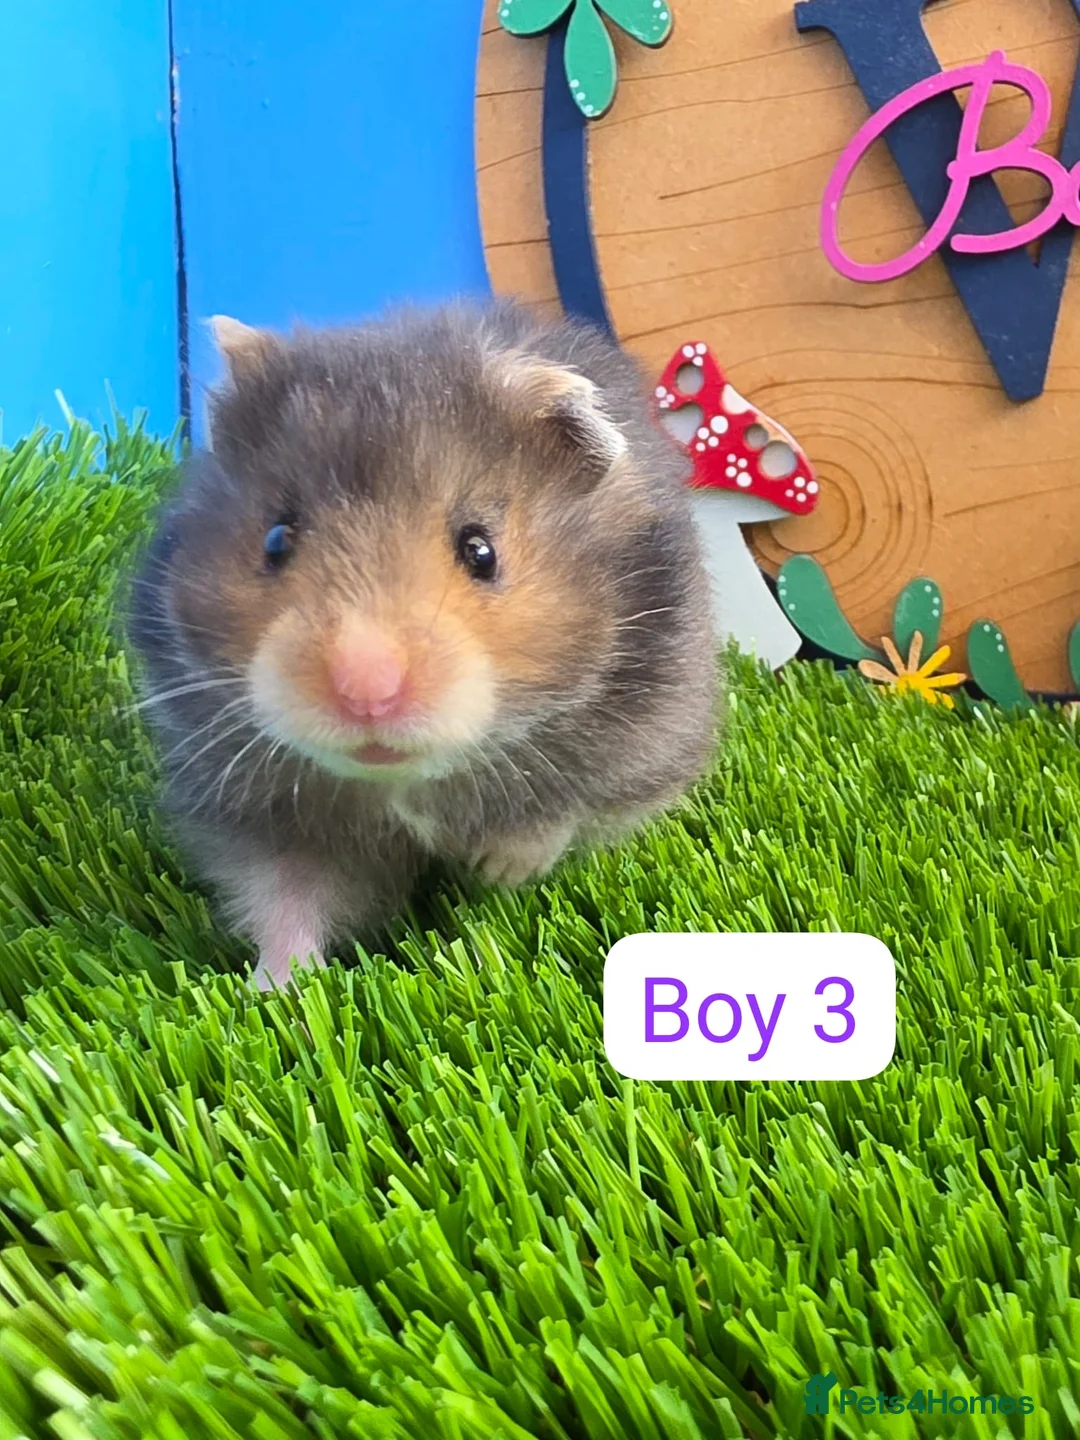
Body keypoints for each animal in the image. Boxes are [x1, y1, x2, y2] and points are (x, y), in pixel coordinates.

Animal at [128, 301, 719, 989]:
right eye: (276, 539)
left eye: (481, 550)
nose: (366, 692)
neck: (402, 780)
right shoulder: (262, 813)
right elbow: (287, 899)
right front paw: (275, 992)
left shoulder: (643, 745)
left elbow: (559, 814)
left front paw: (497, 869)